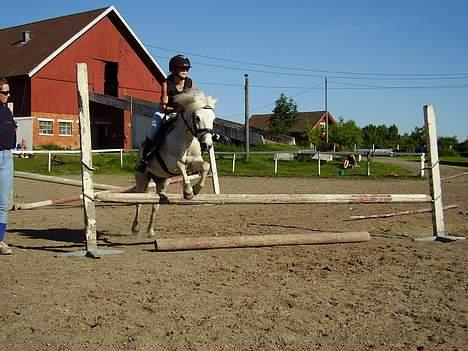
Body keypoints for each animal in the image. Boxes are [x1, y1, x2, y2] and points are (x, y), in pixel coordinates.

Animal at [132, 91, 218, 238]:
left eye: (212, 119)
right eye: (197, 118)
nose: (207, 145)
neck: (187, 138)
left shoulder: (193, 162)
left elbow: (206, 165)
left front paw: (196, 189)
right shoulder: (170, 162)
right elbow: (181, 165)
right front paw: (188, 192)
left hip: (162, 181)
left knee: (156, 203)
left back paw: (150, 231)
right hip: (142, 178)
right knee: (139, 201)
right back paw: (135, 228)